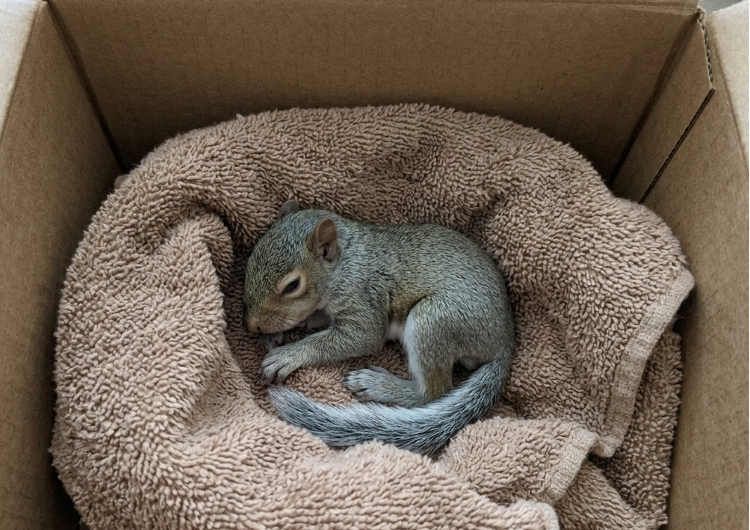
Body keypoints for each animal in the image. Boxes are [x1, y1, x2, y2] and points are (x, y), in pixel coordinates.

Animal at [243, 200, 515, 454]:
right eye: (251, 260)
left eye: (292, 286)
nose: (251, 325)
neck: (345, 264)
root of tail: (503, 342)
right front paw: (279, 332)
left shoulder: (364, 297)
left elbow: (359, 337)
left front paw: (287, 355)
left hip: (433, 322)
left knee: (432, 393)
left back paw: (378, 384)